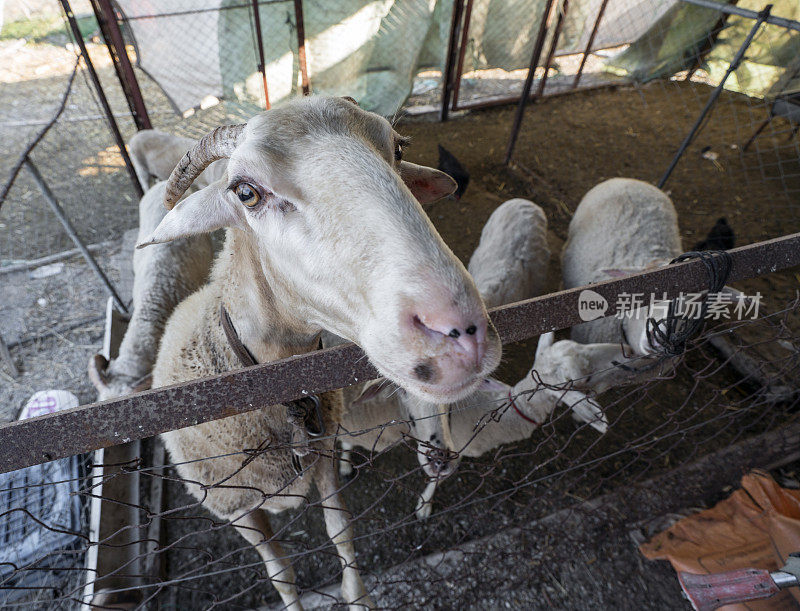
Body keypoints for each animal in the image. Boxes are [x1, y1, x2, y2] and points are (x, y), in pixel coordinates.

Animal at [138, 98, 500, 608]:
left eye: (398, 149)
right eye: (246, 193)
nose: (461, 333)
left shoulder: (324, 455)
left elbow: (341, 532)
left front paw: (358, 596)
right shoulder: (239, 508)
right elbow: (281, 572)